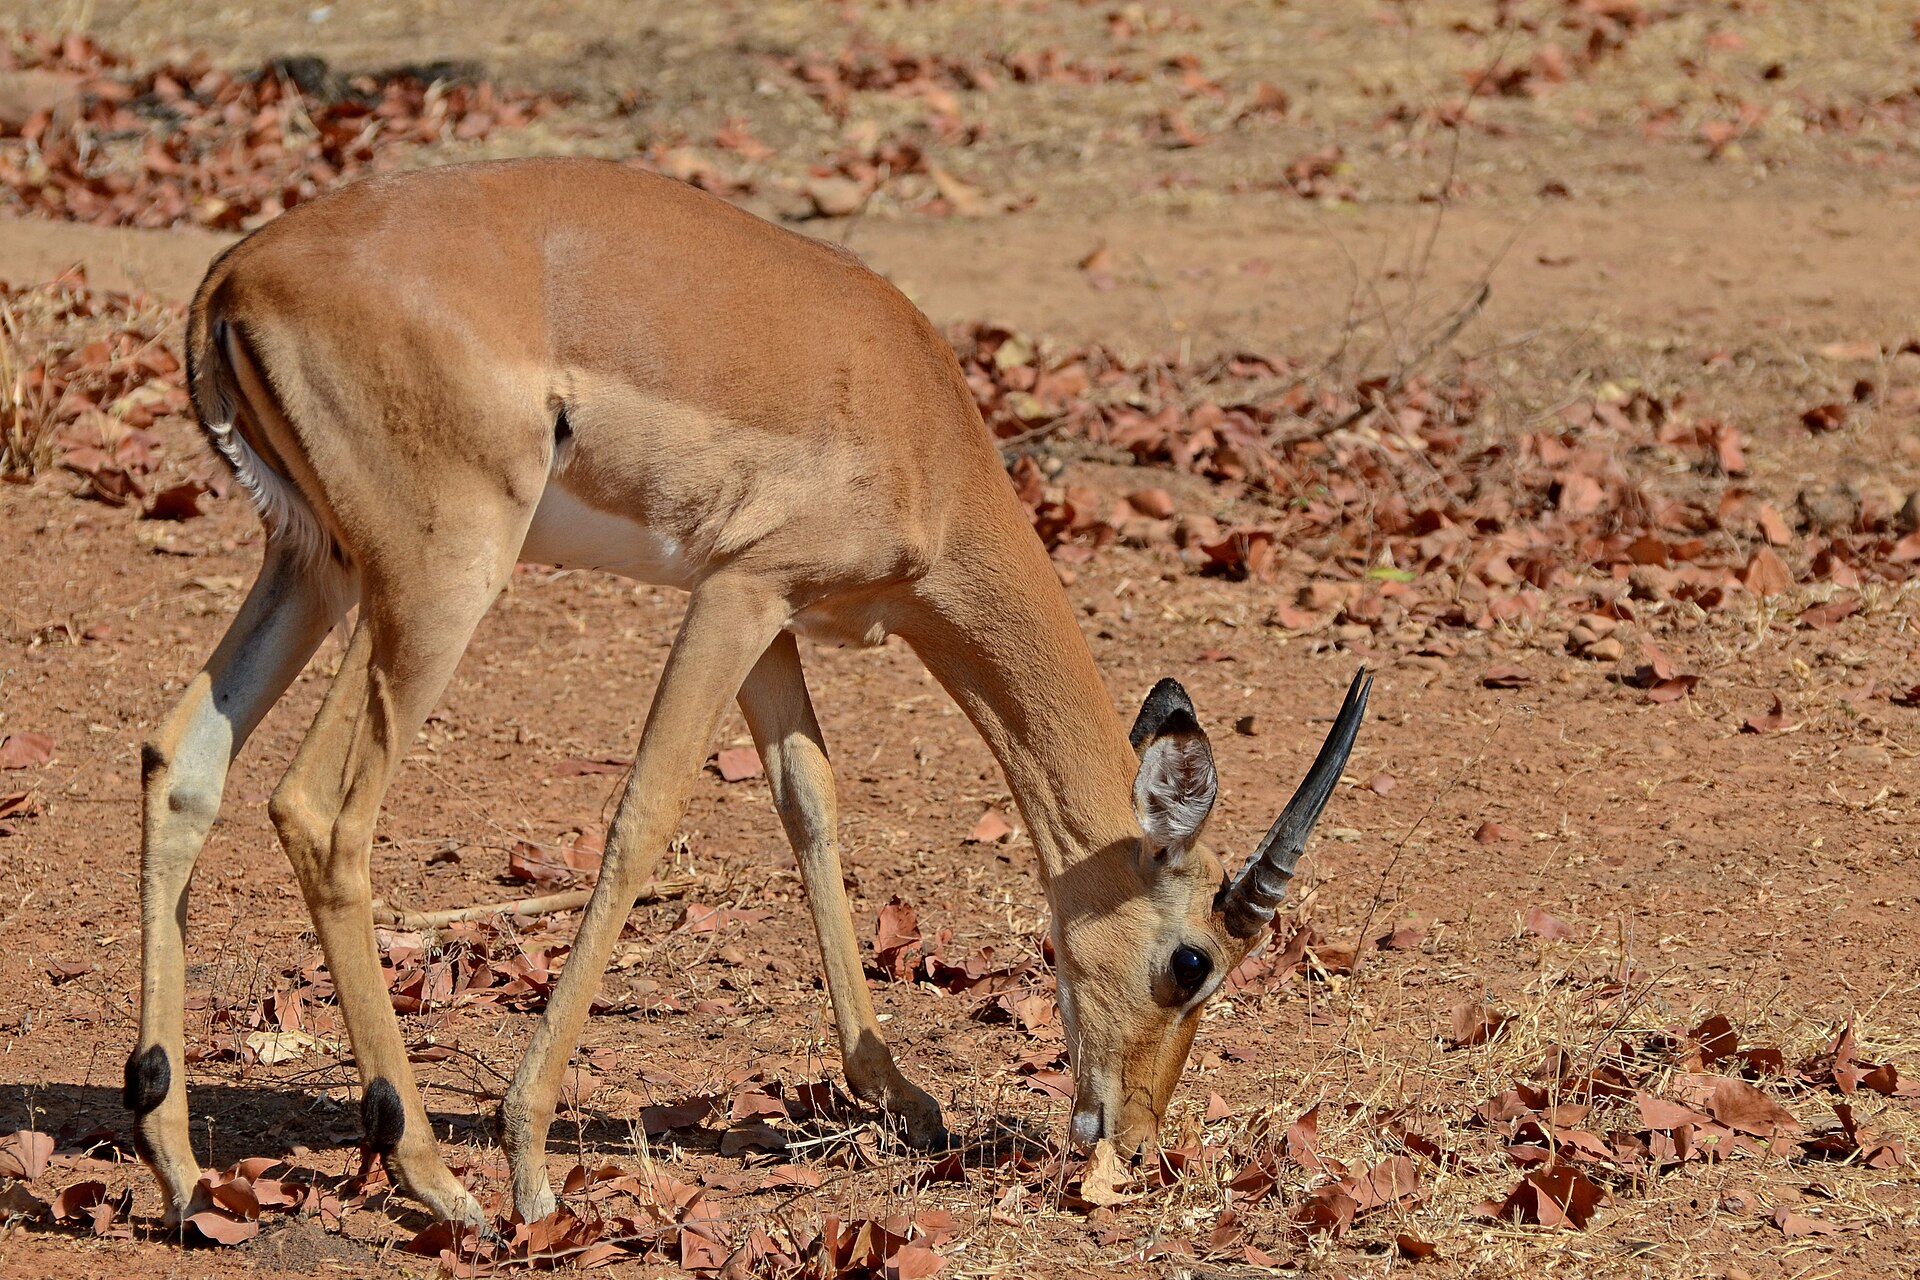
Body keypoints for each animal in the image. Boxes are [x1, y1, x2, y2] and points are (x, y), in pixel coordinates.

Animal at [128, 157, 1370, 1227]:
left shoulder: (771, 613)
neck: (919, 424)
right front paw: (530, 1150)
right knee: (319, 809)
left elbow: (809, 801)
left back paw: (179, 1166)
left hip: (315, 567)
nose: (1133, 1135)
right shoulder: (736, 591)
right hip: (436, 580)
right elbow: (645, 816)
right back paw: (436, 1173)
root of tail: (238, 274)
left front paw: (897, 1093)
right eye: (1191, 960)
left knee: (182, 754)